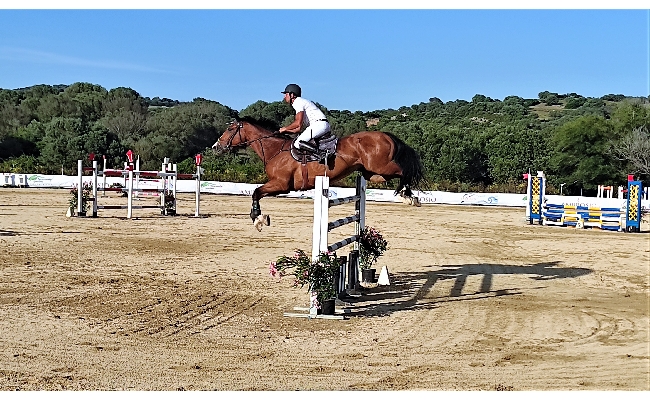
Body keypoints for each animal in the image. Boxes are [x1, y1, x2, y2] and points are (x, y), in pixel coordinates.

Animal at [213, 116, 426, 231]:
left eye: (230, 129)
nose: (216, 147)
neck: (274, 149)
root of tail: (386, 136)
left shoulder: (281, 185)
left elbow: (256, 192)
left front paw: (258, 219)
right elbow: (256, 193)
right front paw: (259, 218)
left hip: (382, 167)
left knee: (404, 171)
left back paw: (409, 197)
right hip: (371, 172)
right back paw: (408, 196)